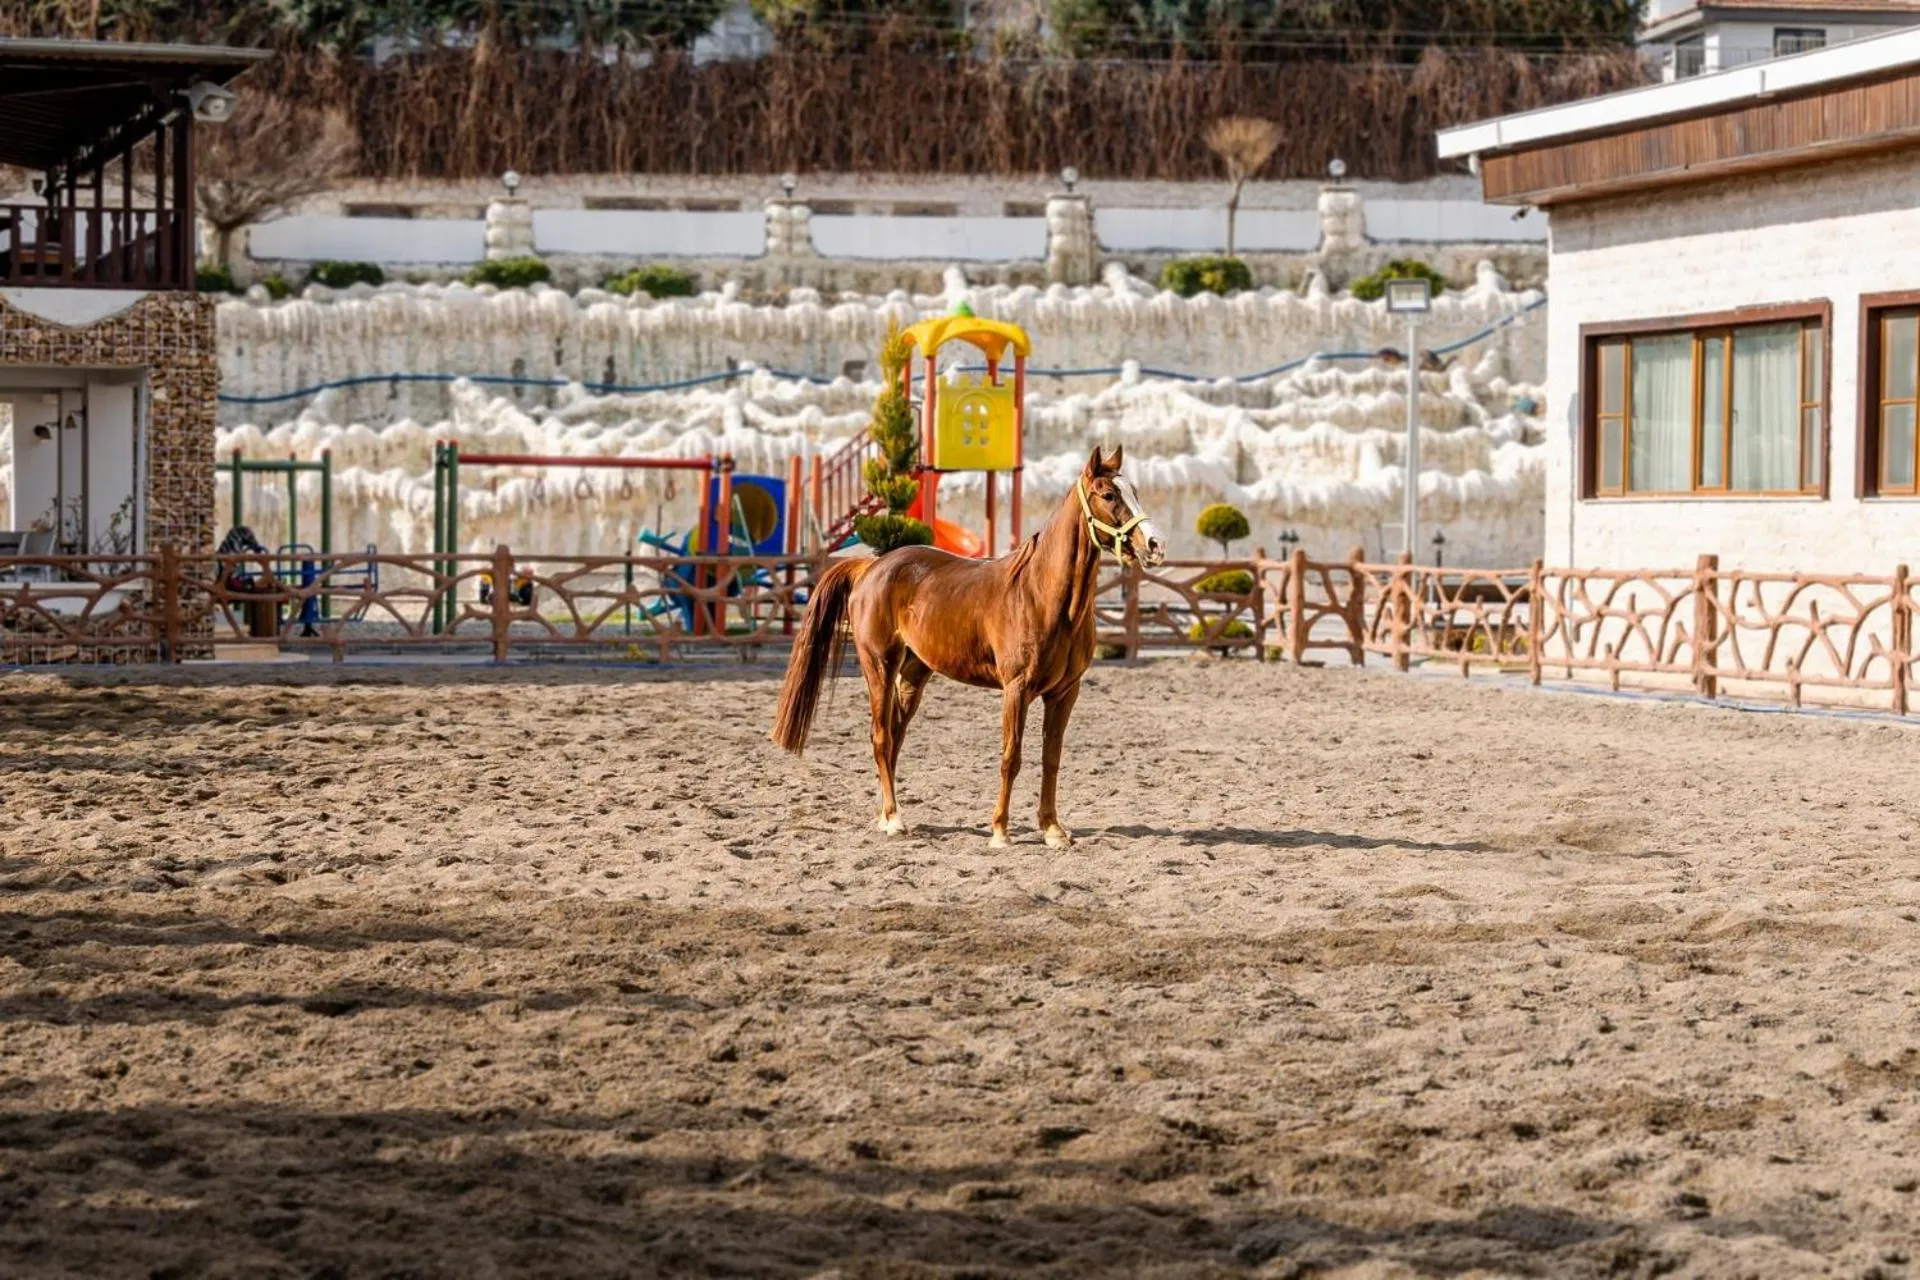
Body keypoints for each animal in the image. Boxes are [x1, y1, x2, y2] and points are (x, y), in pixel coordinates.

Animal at [771, 446, 1166, 847]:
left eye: (1134, 491)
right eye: (1108, 495)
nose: (1154, 545)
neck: (1042, 594)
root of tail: (870, 568)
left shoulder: (1065, 692)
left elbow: (1051, 758)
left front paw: (1053, 829)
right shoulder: (1016, 689)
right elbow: (1011, 757)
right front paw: (1000, 831)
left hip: (913, 673)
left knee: (894, 738)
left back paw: (885, 816)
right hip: (879, 666)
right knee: (881, 737)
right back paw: (894, 819)